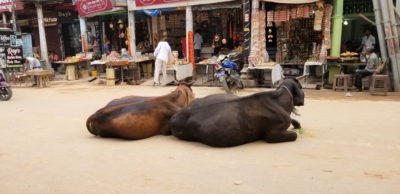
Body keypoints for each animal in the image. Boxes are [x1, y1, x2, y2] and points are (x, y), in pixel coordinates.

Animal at [169, 77, 304, 147]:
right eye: (301, 87)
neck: (281, 101)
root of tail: (174, 117)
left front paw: (297, 124)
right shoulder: (273, 134)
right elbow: (294, 135)